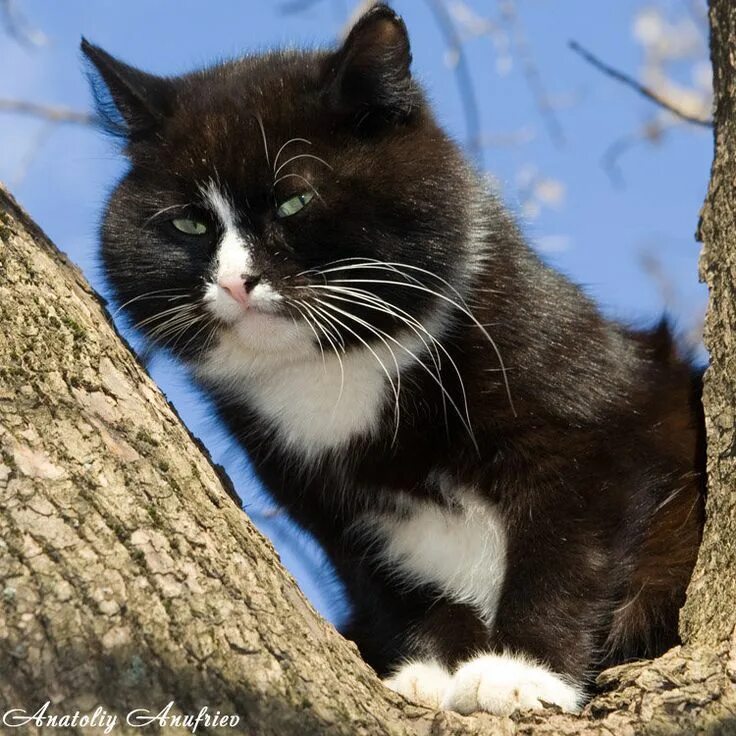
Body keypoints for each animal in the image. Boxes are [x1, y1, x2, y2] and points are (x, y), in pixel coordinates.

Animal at [82, 4, 708, 720]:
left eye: (295, 200)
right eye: (189, 224)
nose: (236, 282)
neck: (341, 368)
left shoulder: (587, 417)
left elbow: (570, 547)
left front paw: (521, 671)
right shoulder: (327, 511)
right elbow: (391, 585)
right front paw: (431, 669)